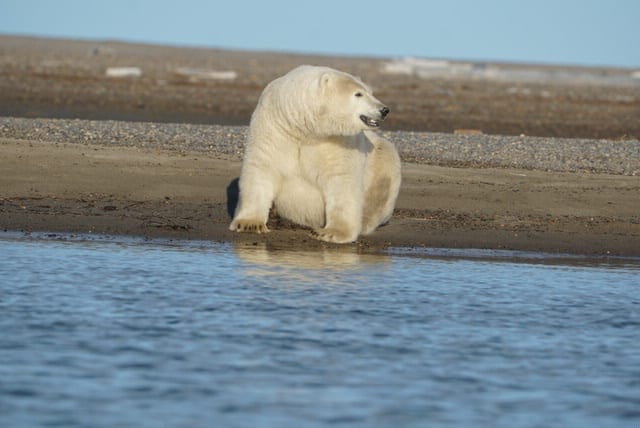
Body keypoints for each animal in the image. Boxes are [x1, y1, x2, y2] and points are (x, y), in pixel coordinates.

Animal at [230, 65, 400, 242]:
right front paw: (249, 224)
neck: (304, 128)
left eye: (370, 92)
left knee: (382, 180)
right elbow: (262, 166)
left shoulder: (338, 140)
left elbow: (342, 180)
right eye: (358, 94)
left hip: (379, 156)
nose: (384, 109)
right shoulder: (274, 126)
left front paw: (330, 232)